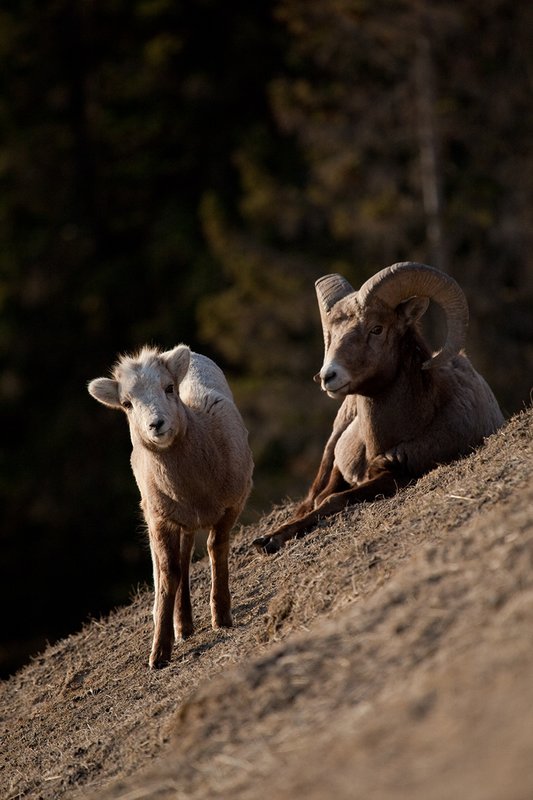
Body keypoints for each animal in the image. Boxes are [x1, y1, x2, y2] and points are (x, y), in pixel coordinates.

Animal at [88, 344, 253, 668]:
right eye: (126, 404)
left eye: (168, 388)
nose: (156, 425)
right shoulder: (160, 521)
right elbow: (168, 574)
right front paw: (159, 654)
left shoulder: (233, 504)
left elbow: (216, 547)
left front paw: (222, 617)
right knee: (179, 563)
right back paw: (182, 626)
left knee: (188, 555)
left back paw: (187, 624)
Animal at [253, 261, 504, 554]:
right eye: (332, 335)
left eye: (377, 329)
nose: (328, 376)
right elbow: (321, 499)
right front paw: (268, 539)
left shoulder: (396, 476)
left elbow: (331, 500)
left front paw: (271, 540)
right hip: (333, 443)